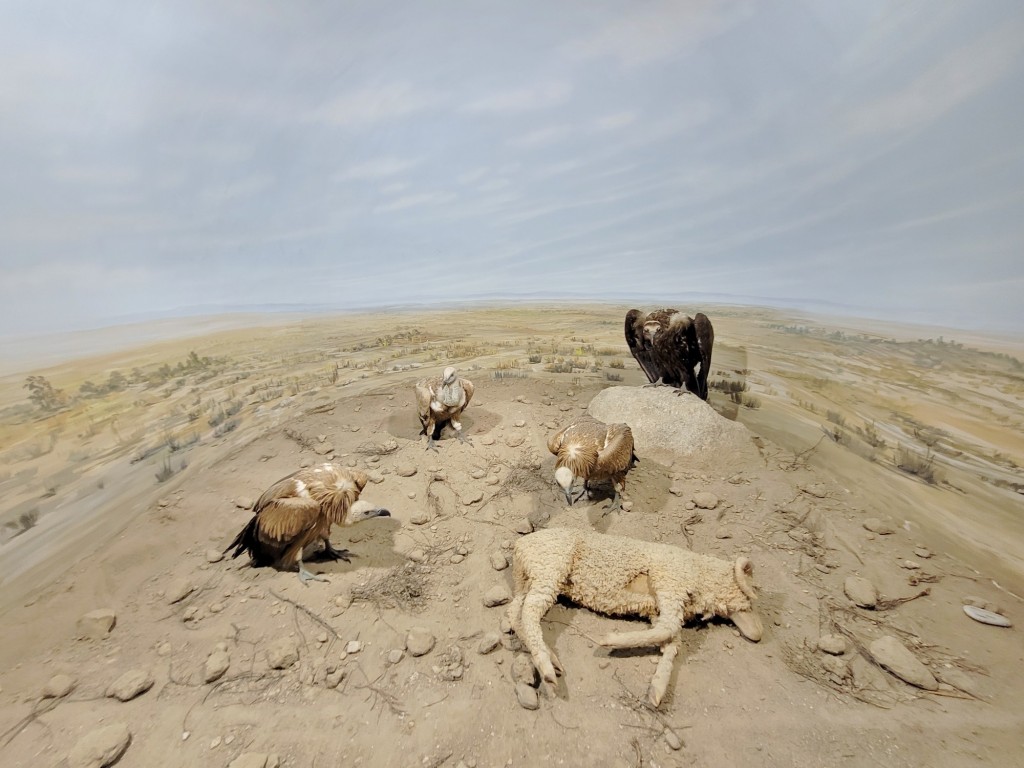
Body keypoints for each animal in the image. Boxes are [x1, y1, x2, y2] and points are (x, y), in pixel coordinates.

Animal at [505, 528, 761, 708]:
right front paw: (609, 640)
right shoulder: (669, 582)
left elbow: (672, 643)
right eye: (750, 601)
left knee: (515, 612)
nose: (759, 635)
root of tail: (520, 545)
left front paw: (657, 688)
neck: (702, 573)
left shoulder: (659, 609)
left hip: (530, 578)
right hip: (551, 566)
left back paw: (549, 658)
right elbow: (669, 630)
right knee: (529, 611)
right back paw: (547, 667)